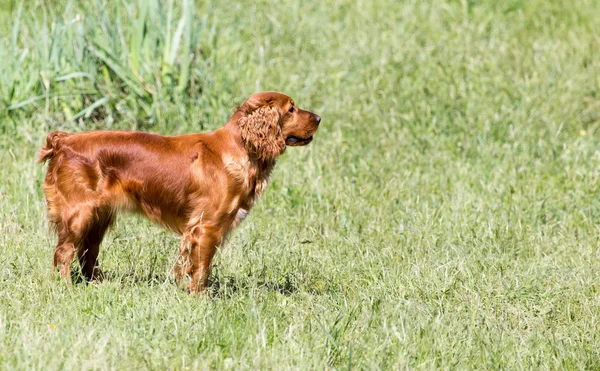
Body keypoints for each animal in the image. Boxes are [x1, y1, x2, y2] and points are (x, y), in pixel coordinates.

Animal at [38, 91, 322, 292]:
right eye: (291, 109)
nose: (319, 118)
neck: (239, 148)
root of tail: (64, 140)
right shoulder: (206, 226)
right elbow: (202, 267)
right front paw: (199, 297)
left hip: (99, 216)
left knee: (88, 252)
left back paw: (99, 285)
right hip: (80, 213)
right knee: (64, 251)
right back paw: (66, 287)